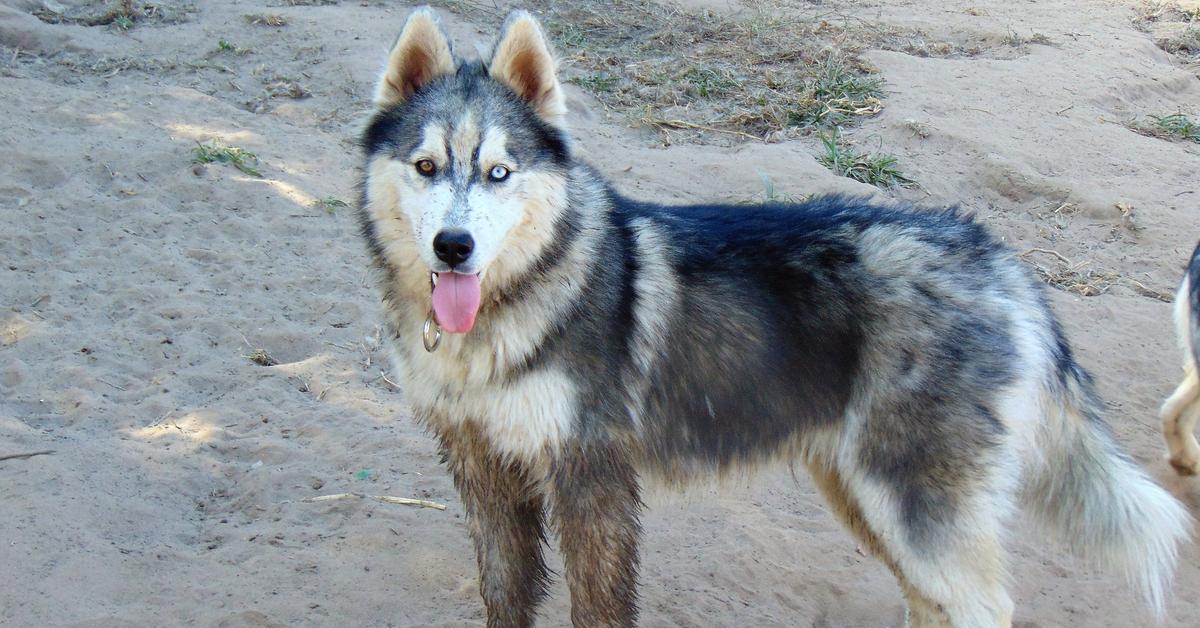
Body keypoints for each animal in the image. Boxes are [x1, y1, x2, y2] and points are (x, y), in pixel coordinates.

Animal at [352, 7, 1190, 624]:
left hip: (914, 507)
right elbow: (505, 597)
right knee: (930, 603)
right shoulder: (484, 475)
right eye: (426, 166)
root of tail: (996, 256)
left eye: (499, 172)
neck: (504, 317)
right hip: (866, 499)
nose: (454, 245)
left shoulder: (592, 483)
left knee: (981, 606)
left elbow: (597, 608)